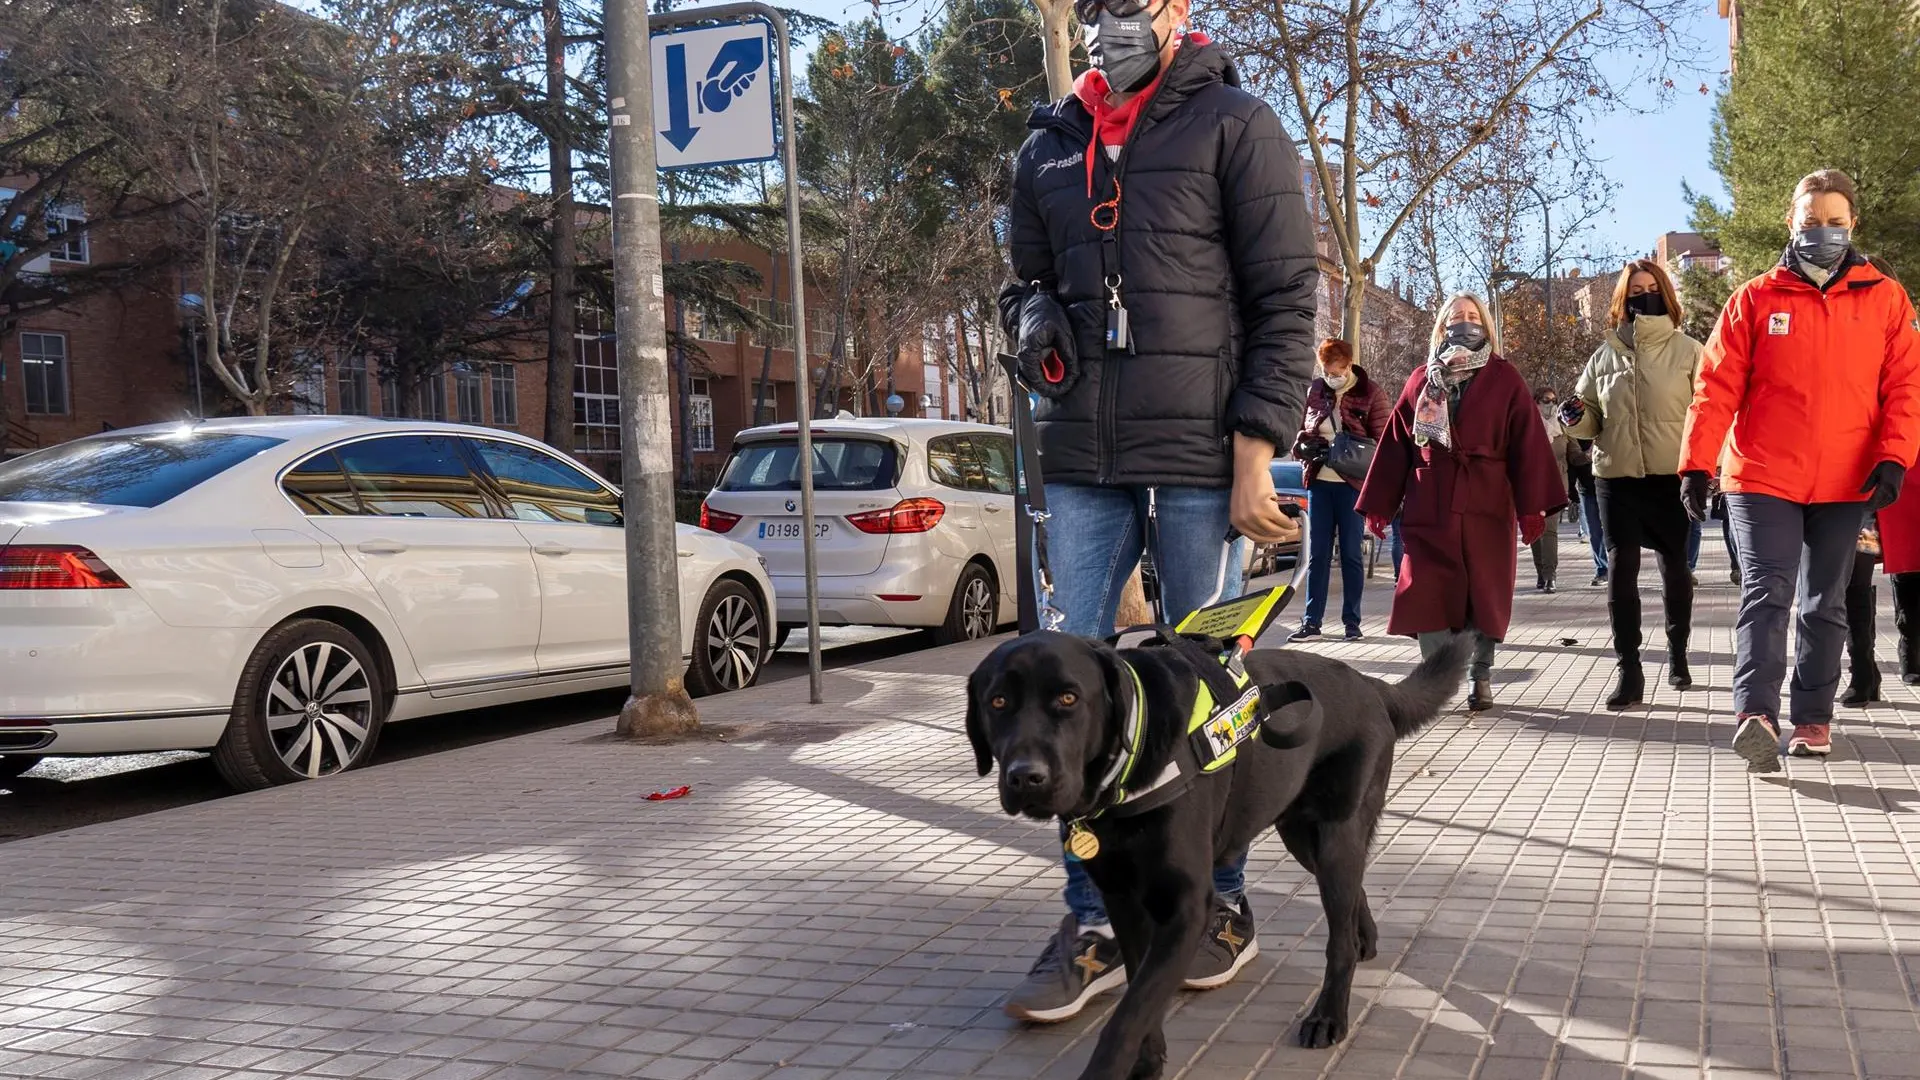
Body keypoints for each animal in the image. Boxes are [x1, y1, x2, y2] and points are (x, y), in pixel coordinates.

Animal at [967, 630, 1459, 1076]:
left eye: (1068, 698)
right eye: (998, 703)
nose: (1026, 777)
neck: (1132, 756)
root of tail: (1369, 683)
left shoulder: (1187, 908)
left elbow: (1130, 1012)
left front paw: (1110, 1069)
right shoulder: (1122, 900)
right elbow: (1139, 991)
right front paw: (1148, 1061)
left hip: (1334, 833)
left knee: (1337, 930)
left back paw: (1329, 1014)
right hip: (1301, 834)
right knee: (1353, 886)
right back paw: (1364, 937)